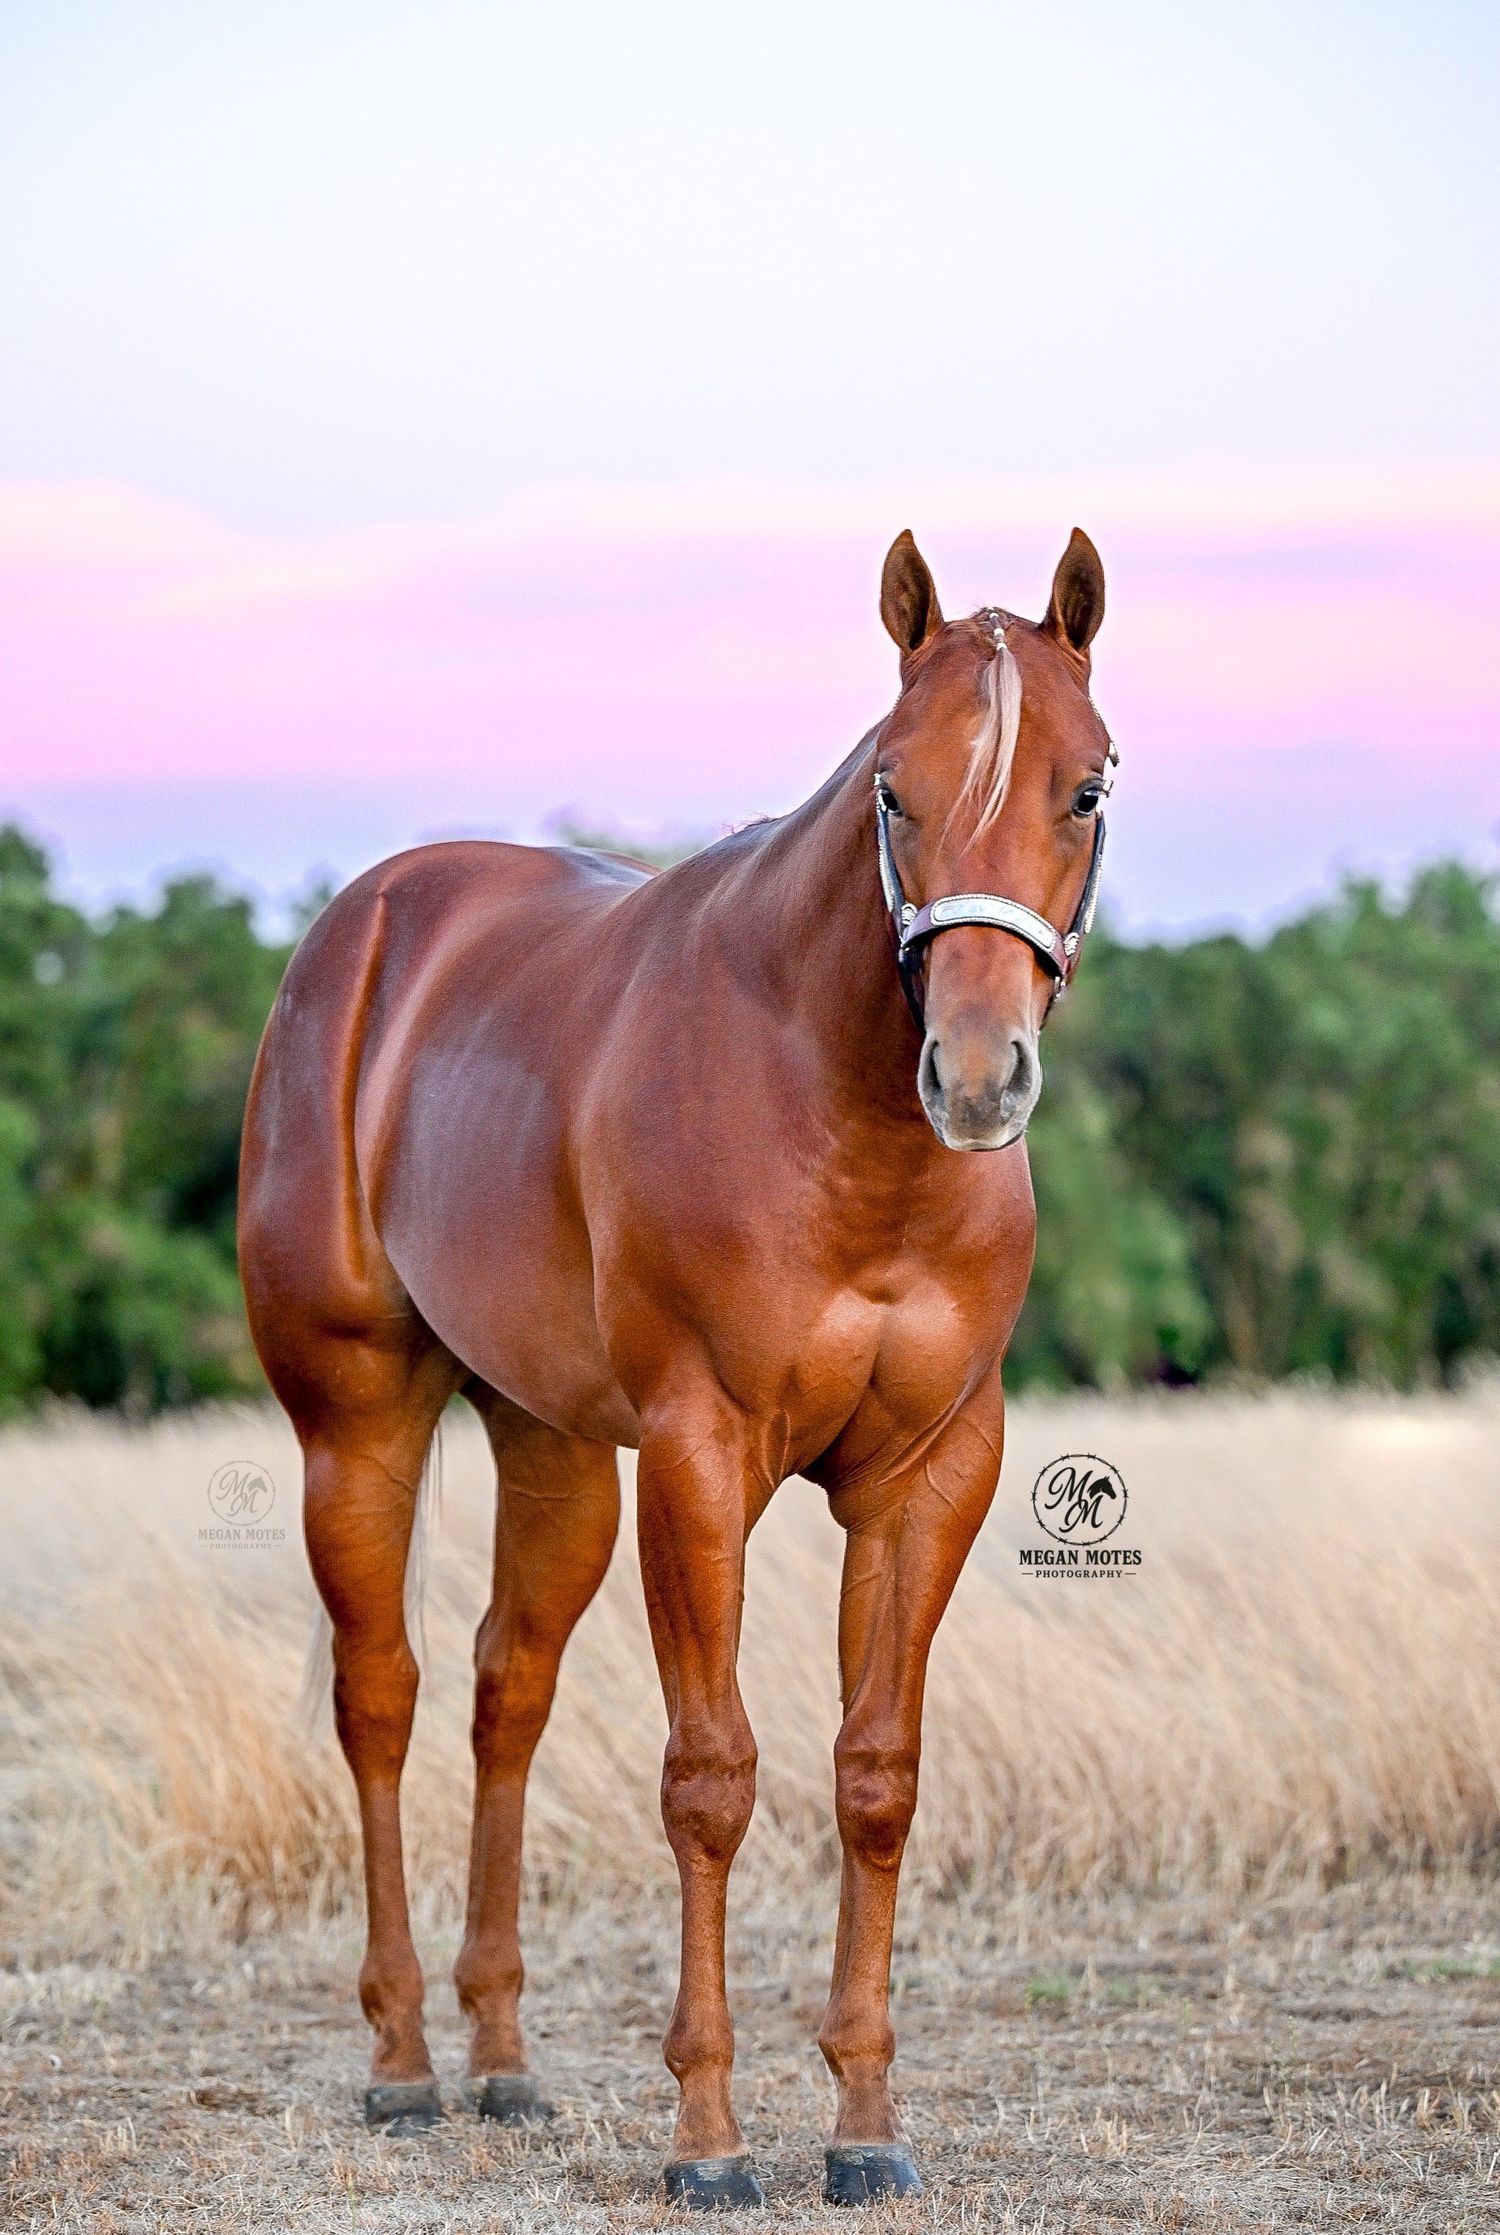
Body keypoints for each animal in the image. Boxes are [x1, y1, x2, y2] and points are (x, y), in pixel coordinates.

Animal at [238, 525, 1114, 2207]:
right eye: (893, 788)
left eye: (1088, 785)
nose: (977, 1078)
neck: (836, 1109)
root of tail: (369, 925)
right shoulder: (703, 1460)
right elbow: (710, 1778)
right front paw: (709, 2138)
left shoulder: (930, 1474)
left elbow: (876, 1774)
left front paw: (865, 2124)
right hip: (356, 1422)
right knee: (382, 1699)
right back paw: (402, 2061)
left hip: (554, 1447)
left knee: (504, 1690)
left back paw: (504, 2056)